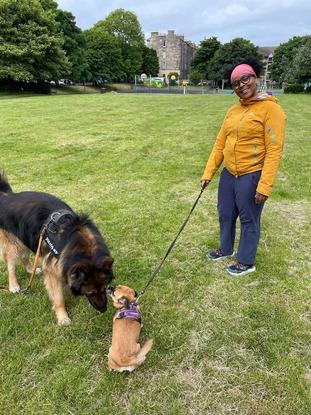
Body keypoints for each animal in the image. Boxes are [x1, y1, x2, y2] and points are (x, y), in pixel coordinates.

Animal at [0, 171, 114, 326]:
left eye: (104, 288)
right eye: (90, 292)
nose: (103, 309)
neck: (78, 242)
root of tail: (6, 196)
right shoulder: (53, 270)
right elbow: (58, 297)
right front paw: (63, 317)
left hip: (26, 238)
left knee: (24, 255)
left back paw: (31, 269)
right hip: (13, 244)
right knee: (11, 265)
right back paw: (14, 286)